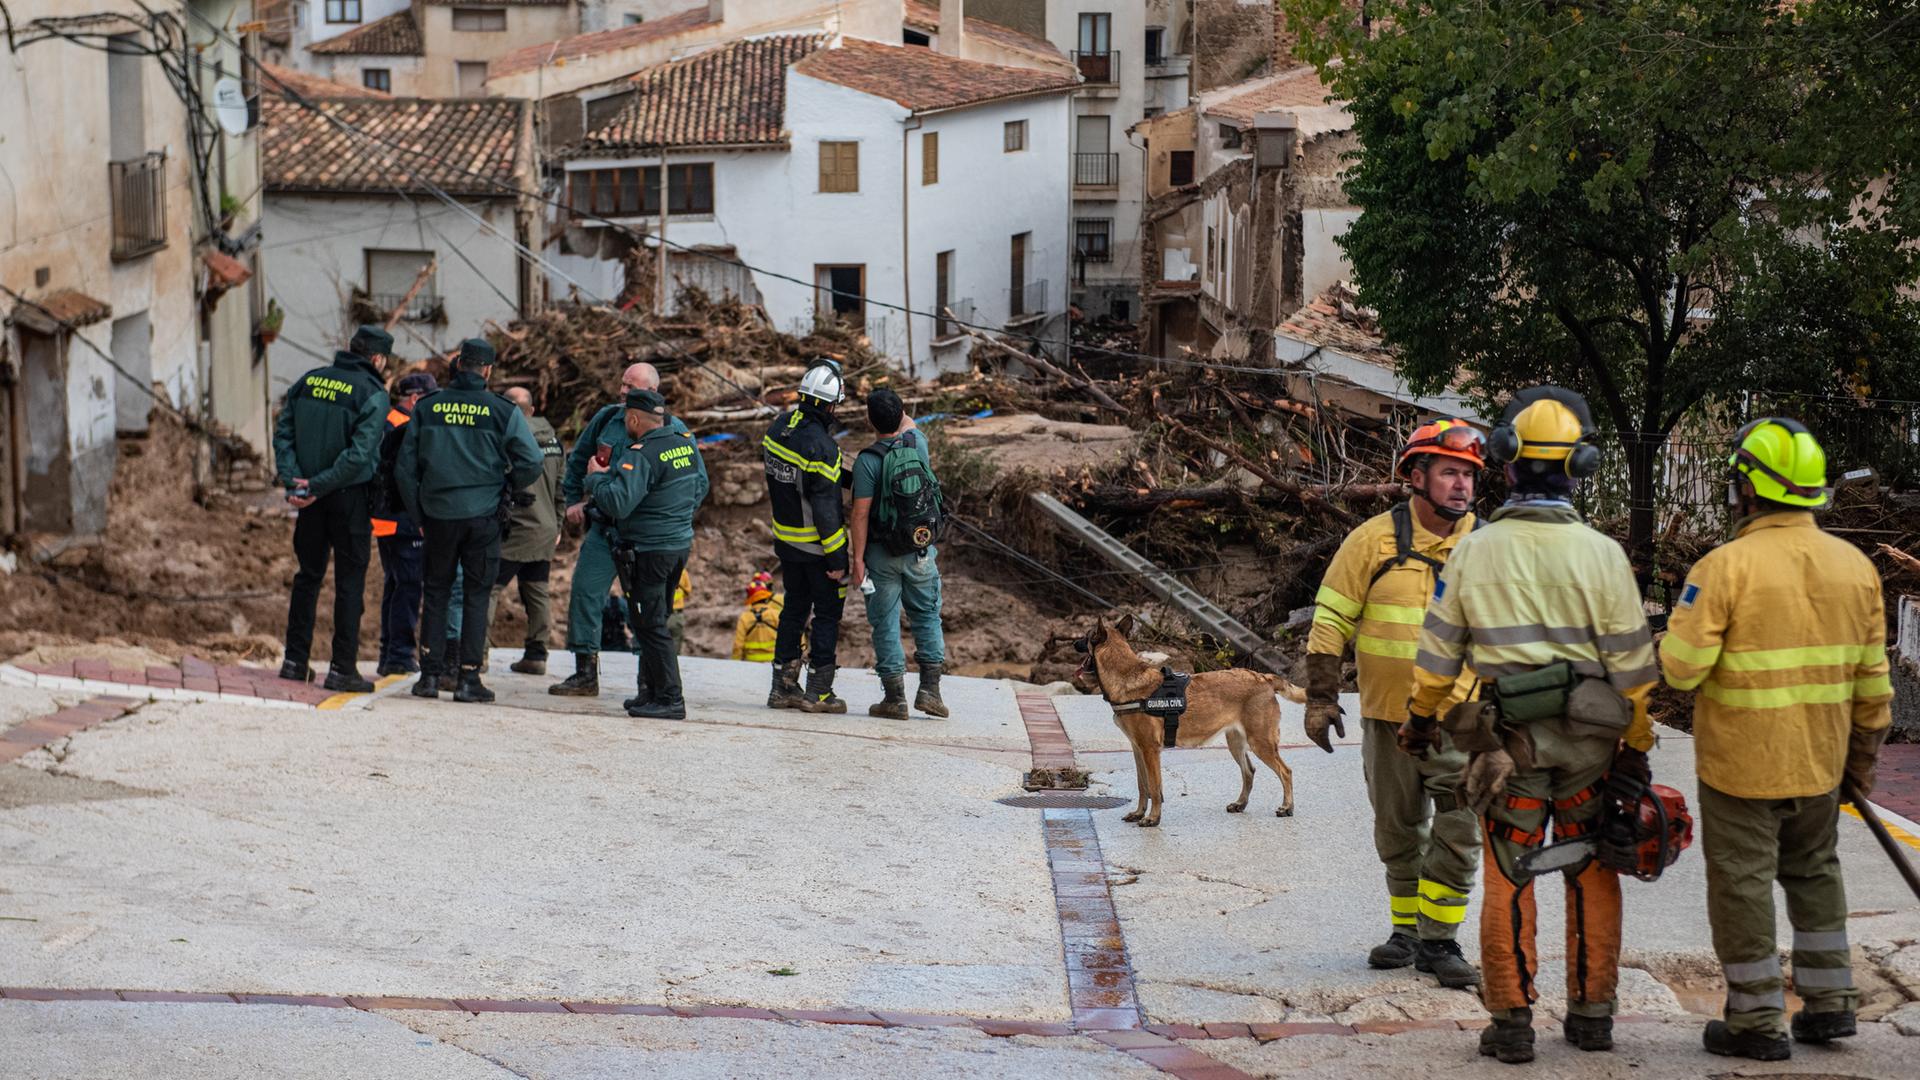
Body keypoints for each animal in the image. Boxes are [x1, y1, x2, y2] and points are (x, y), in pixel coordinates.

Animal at [1075, 614, 1297, 822]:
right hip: (1236, 743)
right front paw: (1139, 813)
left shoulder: (1150, 750)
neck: (1126, 674)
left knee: (1285, 771)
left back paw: (1287, 807)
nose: (1073, 643)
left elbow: (1154, 787)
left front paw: (1153, 818)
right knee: (1249, 771)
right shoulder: (1138, 749)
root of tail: (1264, 678)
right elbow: (1142, 786)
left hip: (1260, 742)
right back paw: (1240, 803)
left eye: (1086, 636)